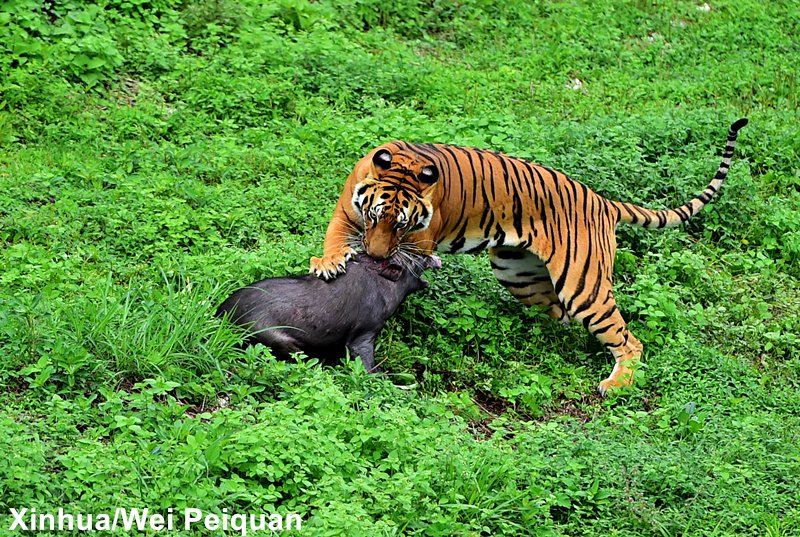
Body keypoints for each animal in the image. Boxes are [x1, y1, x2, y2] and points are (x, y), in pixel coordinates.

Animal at [215, 253, 441, 372]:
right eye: (414, 258)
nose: (434, 257)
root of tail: (221, 316)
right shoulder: (365, 332)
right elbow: (367, 365)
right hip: (278, 339)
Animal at [310, 118, 748, 394]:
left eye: (402, 225)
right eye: (373, 216)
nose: (373, 251)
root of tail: (603, 201)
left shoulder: (419, 243)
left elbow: (401, 265)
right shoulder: (346, 211)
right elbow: (334, 238)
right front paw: (328, 262)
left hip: (584, 286)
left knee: (628, 340)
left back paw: (616, 383)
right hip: (517, 273)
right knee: (558, 318)